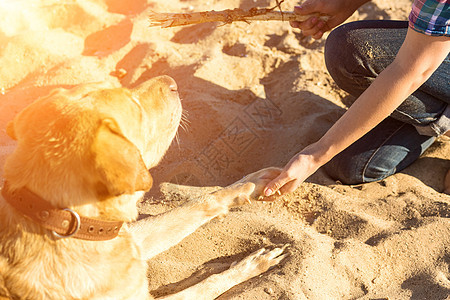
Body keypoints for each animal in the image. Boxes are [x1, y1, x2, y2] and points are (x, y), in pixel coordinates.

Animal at [0, 77, 286, 300]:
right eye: (136, 107)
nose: (172, 80)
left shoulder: (132, 241)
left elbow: (198, 204)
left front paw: (252, 184)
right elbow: (207, 284)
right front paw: (249, 266)